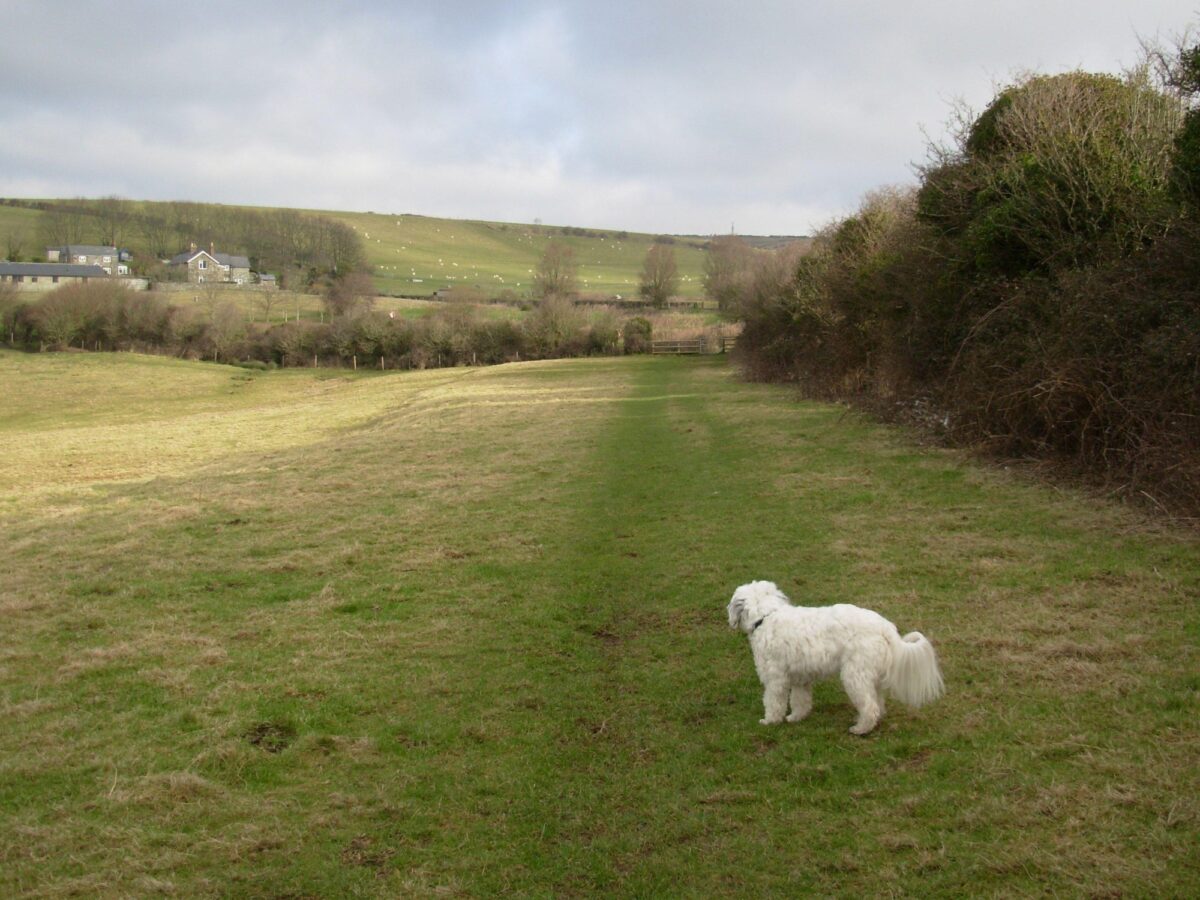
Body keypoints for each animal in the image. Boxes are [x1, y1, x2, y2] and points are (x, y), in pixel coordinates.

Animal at [724, 580, 940, 734]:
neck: (766, 617)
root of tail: (885, 627)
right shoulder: (800, 679)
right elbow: (800, 702)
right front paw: (796, 718)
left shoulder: (775, 679)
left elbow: (773, 702)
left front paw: (769, 721)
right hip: (870, 676)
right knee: (877, 704)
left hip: (855, 675)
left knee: (870, 707)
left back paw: (860, 730)